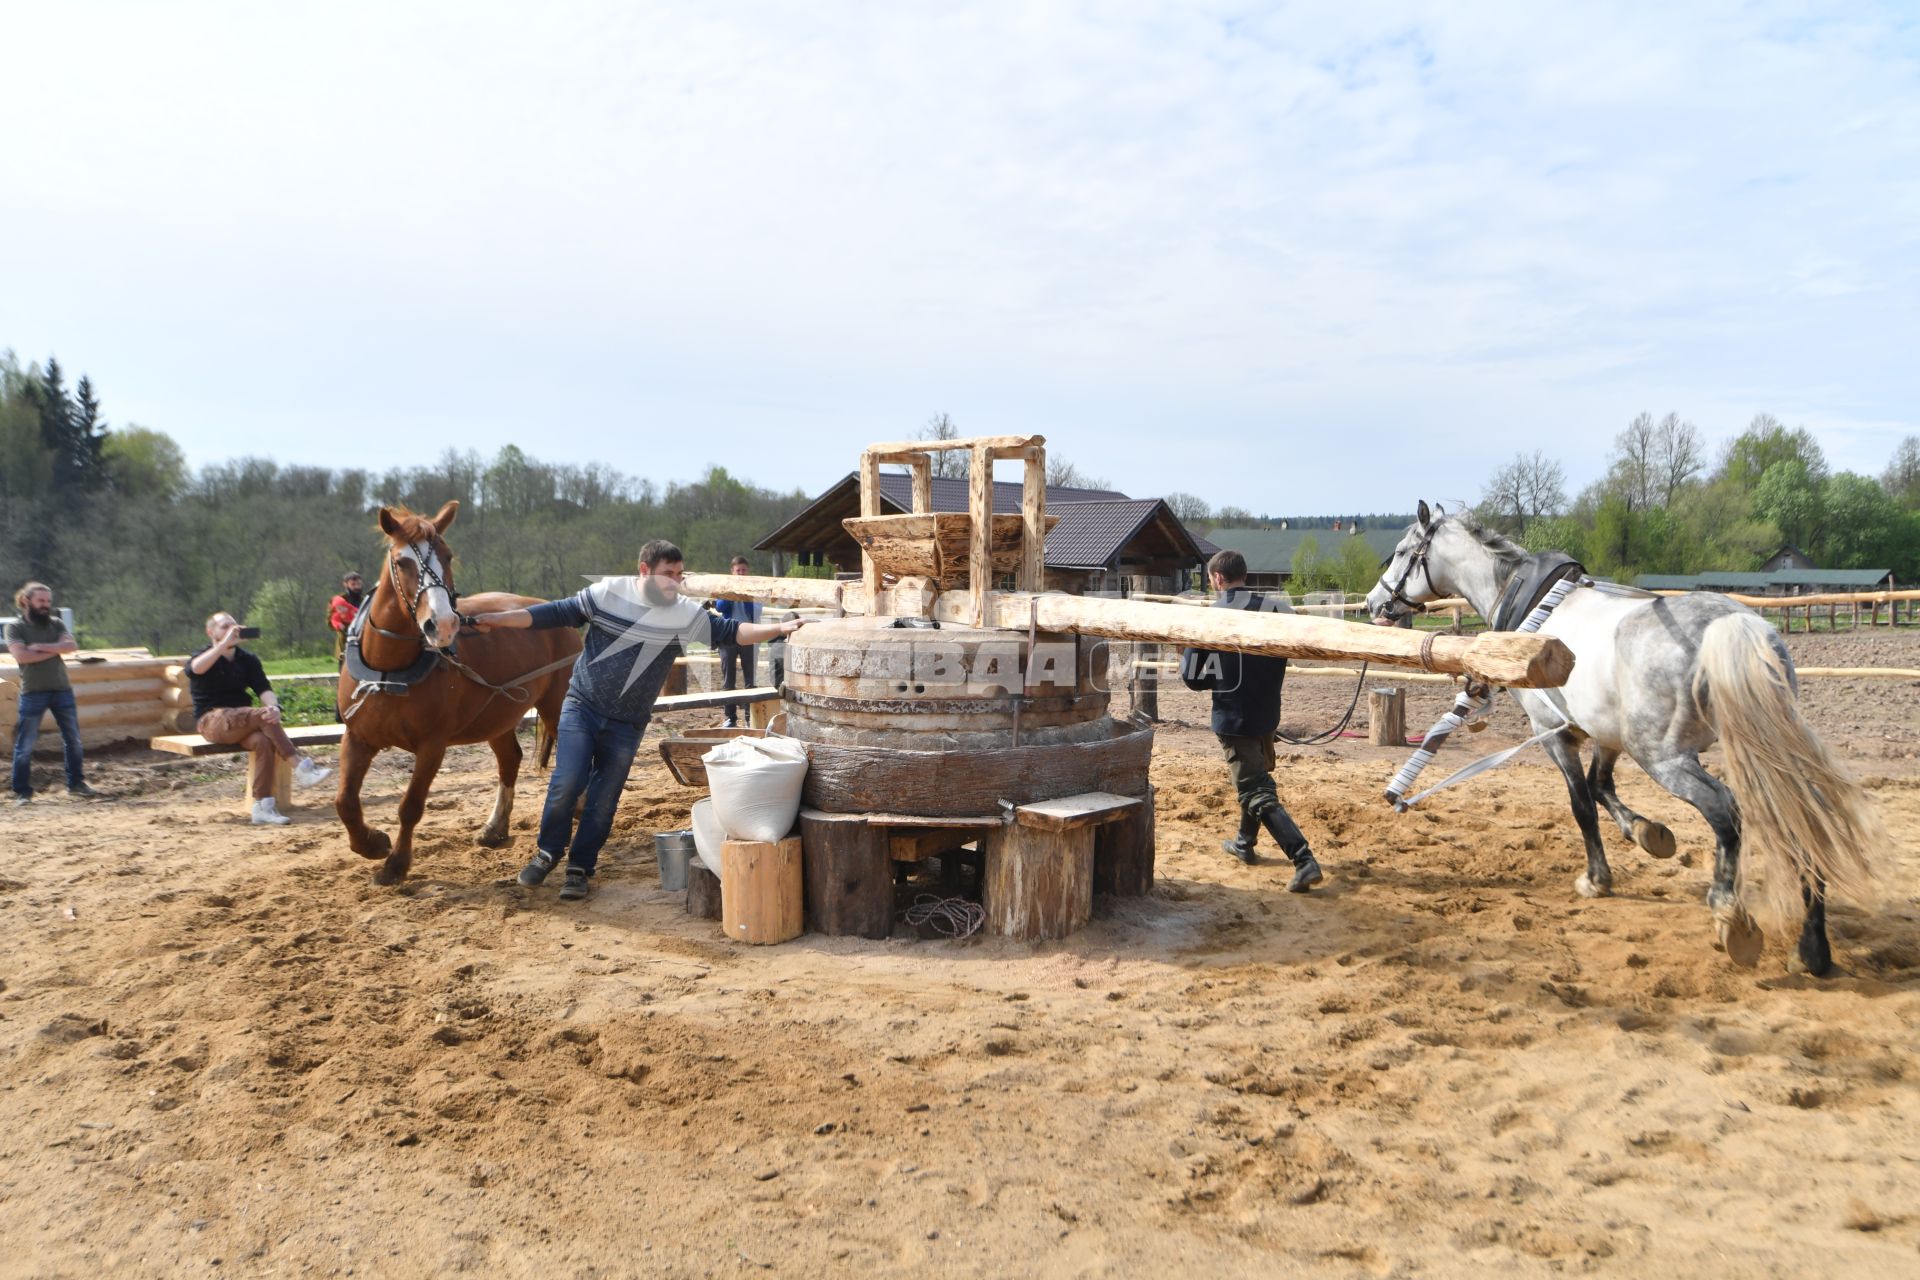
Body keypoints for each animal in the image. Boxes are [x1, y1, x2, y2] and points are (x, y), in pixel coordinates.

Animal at [334, 506, 579, 886]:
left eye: (447, 556)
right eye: (402, 562)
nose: (443, 624)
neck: (389, 669)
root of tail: (553, 608)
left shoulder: (432, 745)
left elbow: (411, 806)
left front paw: (396, 864)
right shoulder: (358, 736)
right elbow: (345, 801)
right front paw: (372, 843)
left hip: (555, 706)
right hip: (497, 716)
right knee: (509, 759)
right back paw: (495, 828)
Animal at [1367, 506, 1873, 974]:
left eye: (1400, 552)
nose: (1375, 603)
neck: (1532, 612)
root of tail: (1733, 626)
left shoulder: (1553, 734)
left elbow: (1582, 805)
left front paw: (1597, 878)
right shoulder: (1604, 733)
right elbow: (1601, 786)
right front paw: (1648, 833)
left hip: (1665, 758)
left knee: (1724, 810)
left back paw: (1729, 913)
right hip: (1756, 747)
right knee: (1801, 815)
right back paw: (1812, 949)